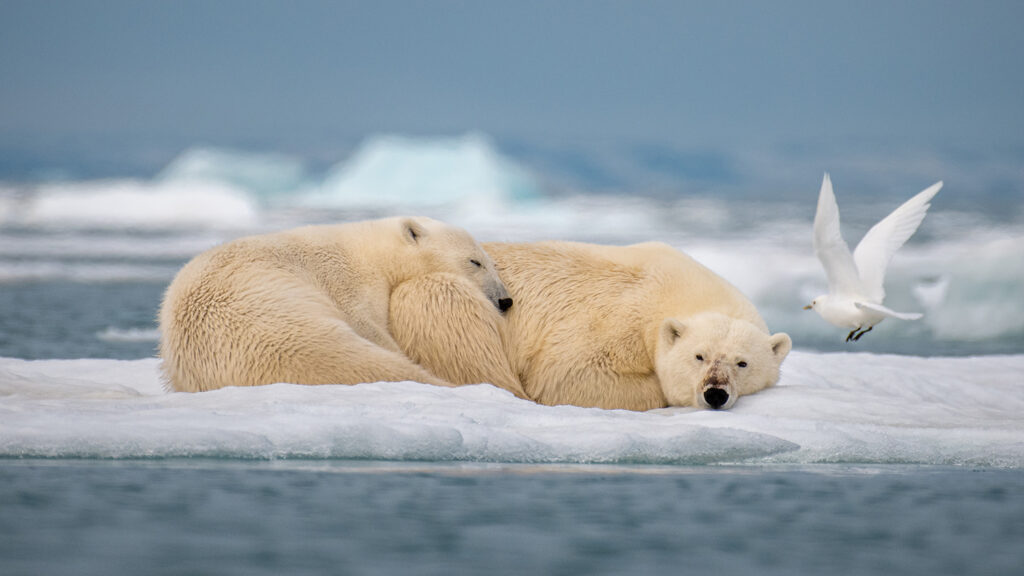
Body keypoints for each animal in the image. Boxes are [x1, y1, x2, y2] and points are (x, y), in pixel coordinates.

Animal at [158, 216, 527, 397]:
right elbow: (366, 322)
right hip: (278, 324)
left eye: (489, 260)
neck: (369, 252)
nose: (504, 300)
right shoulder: (344, 279)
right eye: (475, 261)